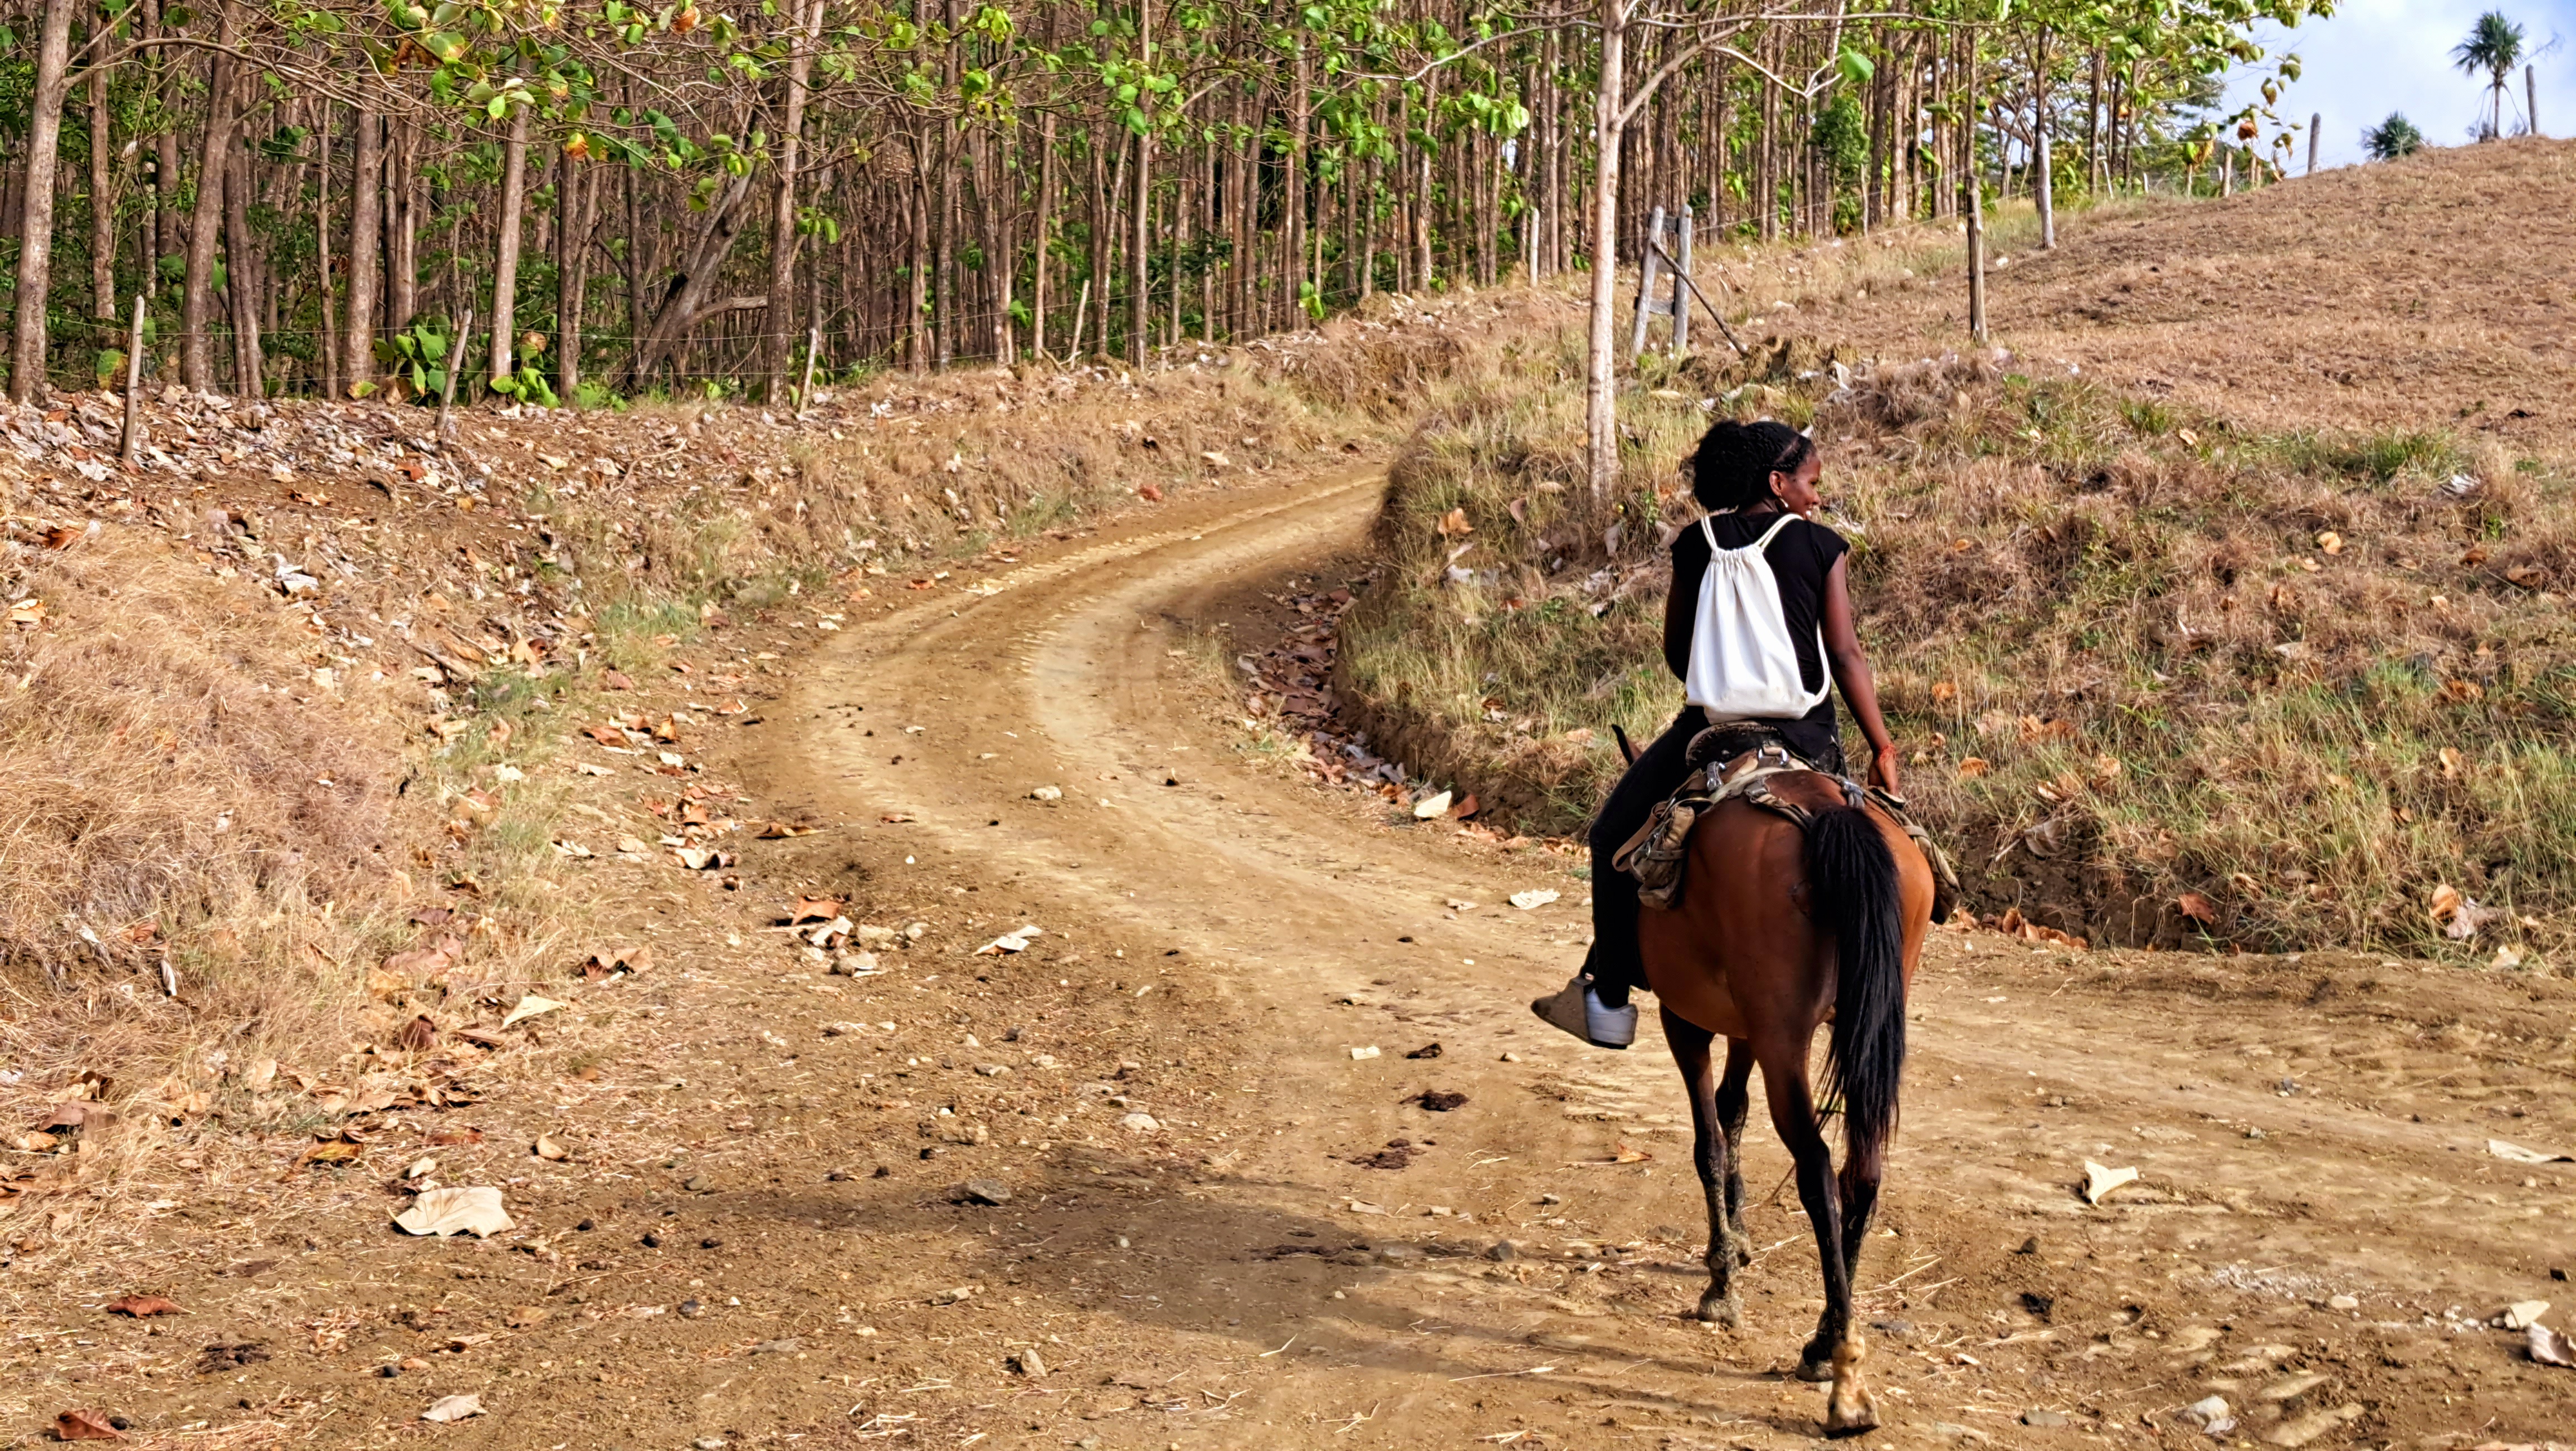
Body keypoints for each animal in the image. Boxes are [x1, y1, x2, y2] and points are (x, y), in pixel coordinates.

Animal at [1648, 778, 1937, 1433]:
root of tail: (1829, 812)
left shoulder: (1685, 1019)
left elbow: (1709, 1142)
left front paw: (1721, 1281)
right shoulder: (1743, 1028)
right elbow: (1732, 1112)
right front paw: (1735, 1236)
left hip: (1782, 1036)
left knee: (1817, 1172)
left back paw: (1845, 1378)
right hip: (1863, 1023)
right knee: (1862, 1177)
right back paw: (1825, 1342)